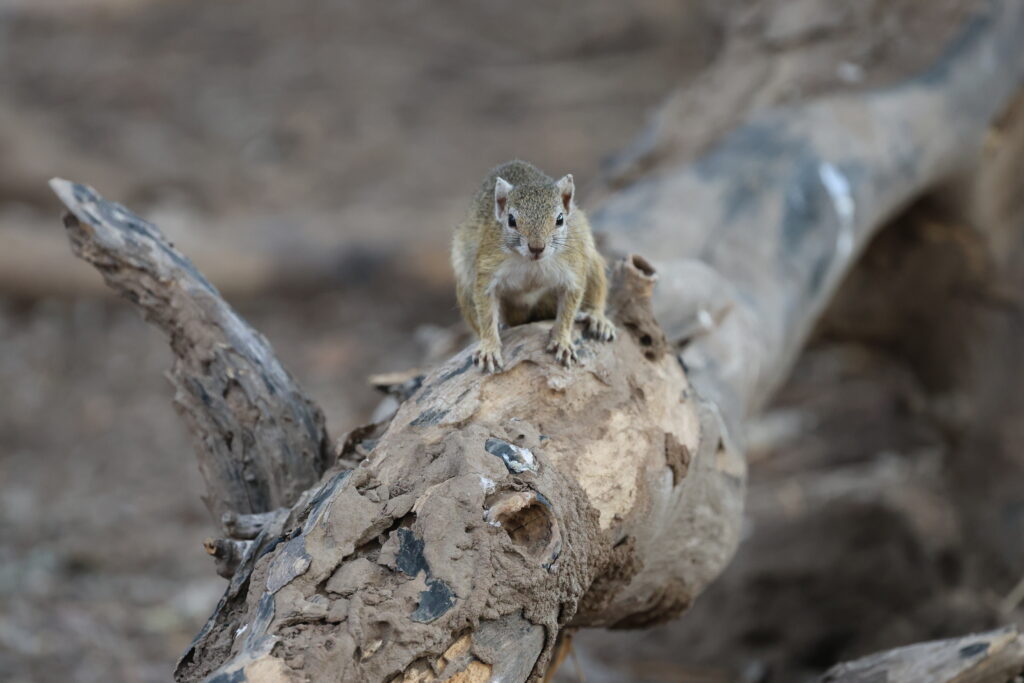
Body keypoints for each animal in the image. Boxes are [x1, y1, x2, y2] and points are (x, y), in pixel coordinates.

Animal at [451, 160, 616, 373]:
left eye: (560, 219)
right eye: (511, 220)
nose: (536, 247)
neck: (532, 263)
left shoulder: (573, 270)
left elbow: (568, 311)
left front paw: (562, 341)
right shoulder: (487, 271)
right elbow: (486, 314)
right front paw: (489, 347)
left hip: (591, 261)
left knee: (597, 291)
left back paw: (597, 318)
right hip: (464, 283)